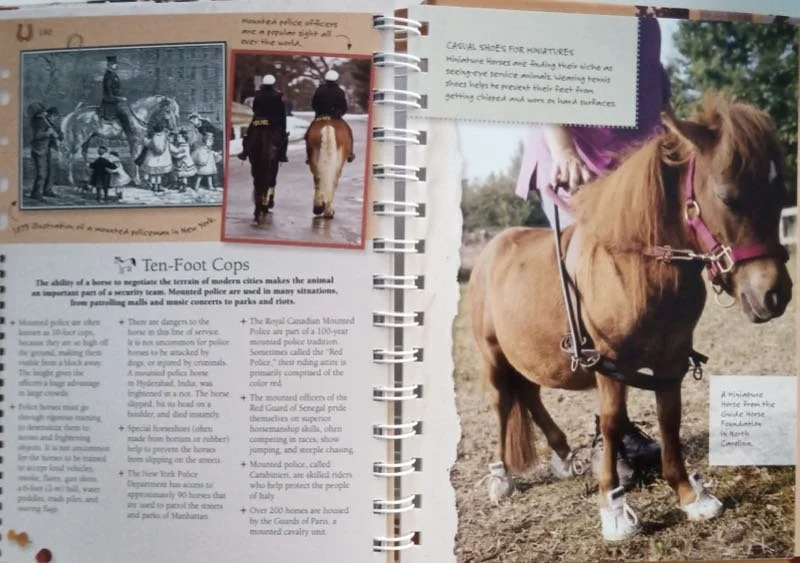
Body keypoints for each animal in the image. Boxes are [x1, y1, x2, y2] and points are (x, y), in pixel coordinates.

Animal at [468, 92, 792, 542]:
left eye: (781, 195)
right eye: (728, 196)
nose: (773, 295)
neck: (636, 267)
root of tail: (491, 250)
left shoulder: (671, 361)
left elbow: (669, 419)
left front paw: (688, 494)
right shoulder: (609, 364)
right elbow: (611, 423)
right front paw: (614, 505)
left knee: (530, 393)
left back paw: (563, 454)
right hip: (492, 355)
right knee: (502, 401)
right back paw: (501, 476)